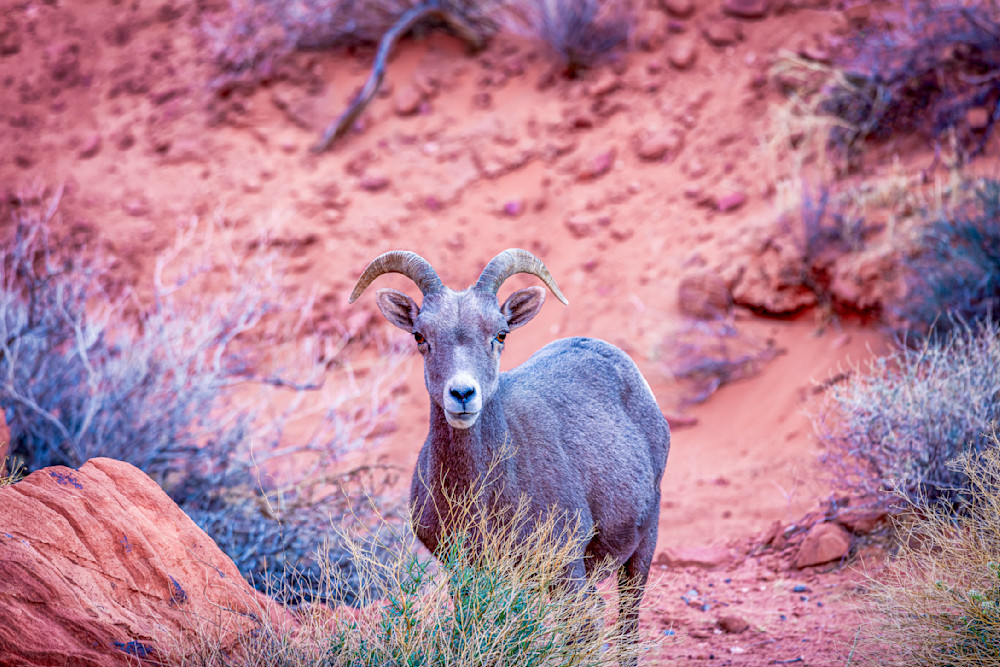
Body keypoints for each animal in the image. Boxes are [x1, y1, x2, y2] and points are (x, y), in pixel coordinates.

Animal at [349, 248, 670, 665]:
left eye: (500, 334)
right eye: (420, 336)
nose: (463, 394)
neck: (481, 499)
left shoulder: (564, 565)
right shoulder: (463, 570)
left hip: (642, 545)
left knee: (625, 620)